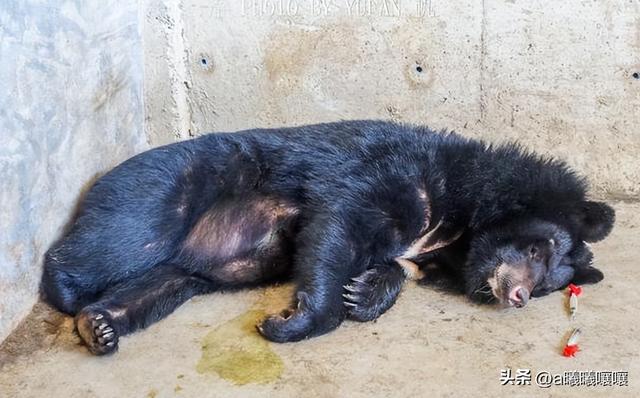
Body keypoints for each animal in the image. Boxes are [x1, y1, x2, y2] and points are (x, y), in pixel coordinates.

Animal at [41, 120, 616, 354]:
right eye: (537, 249)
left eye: (546, 285)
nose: (516, 294)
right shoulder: (396, 177)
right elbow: (339, 225)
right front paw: (292, 321)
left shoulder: (422, 247)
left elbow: (391, 265)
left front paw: (363, 294)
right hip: (167, 186)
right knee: (120, 240)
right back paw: (68, 292)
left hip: (190, 271)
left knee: (157, 286)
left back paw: (101, 325)